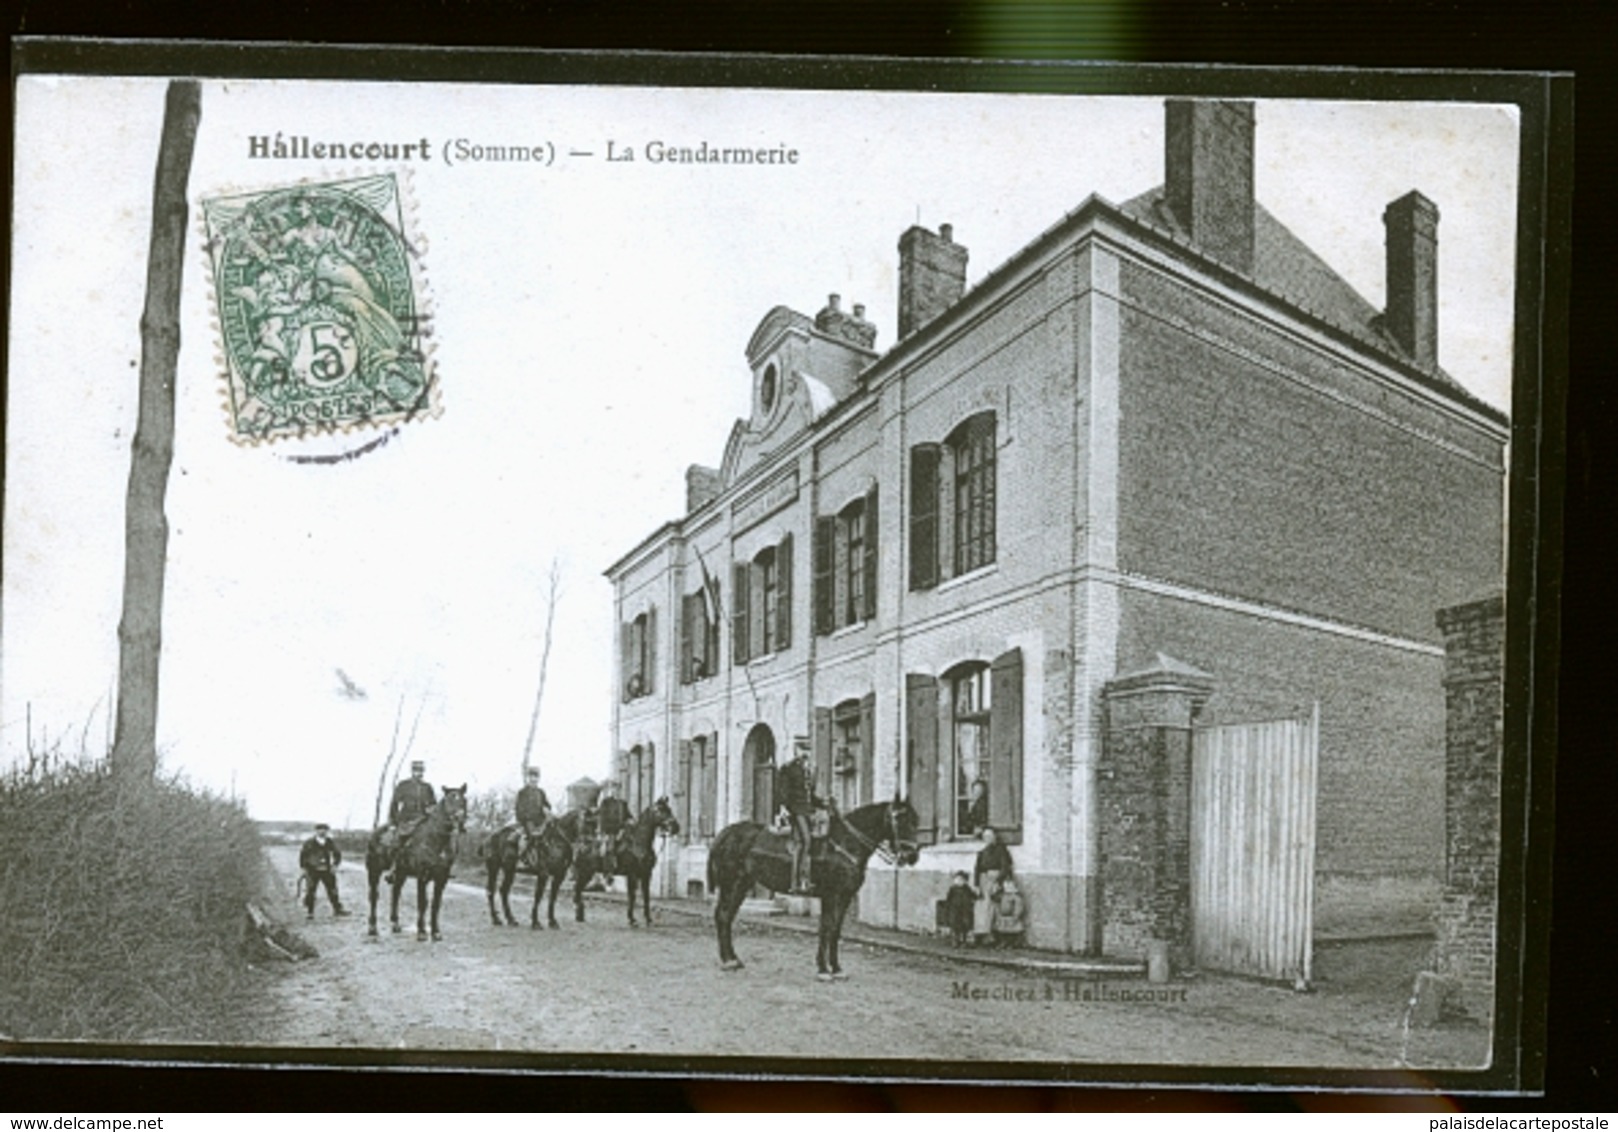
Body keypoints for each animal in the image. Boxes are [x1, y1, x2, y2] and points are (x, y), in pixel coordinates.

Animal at [367, 782, 469, 944]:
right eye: (448, 800)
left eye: (464, 800)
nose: (459, 820)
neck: (436, 840)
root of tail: (375, 833)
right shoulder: (422, 876)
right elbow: (422, 903)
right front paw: (421, 932)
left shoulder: (441, 879)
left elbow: (435, 904)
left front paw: (436, 932)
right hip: (373, 871)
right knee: (373, 897)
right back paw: (372, 929)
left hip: (400, 874)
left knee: (396, 893)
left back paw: (395, 924)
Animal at [572, 795, 679, 931]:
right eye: (661, 810)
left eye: (669, 809)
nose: (676, 827)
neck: (638, 843)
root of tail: (580, 845)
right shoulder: (632, 875)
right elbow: (632, 897)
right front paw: (632, 920)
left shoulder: (646, 874)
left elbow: (646, 897)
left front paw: (648, 919)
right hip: (585, 872)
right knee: (577, 889)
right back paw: (579, 912)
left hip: (586, 873)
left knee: (578, 890)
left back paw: (579, 914)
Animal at [711, 795, 925, 983]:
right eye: (899, 819)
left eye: (915, 820)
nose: (912, 855)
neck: (845, 844)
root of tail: (726, 833)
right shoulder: (830, 896)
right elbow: (826, 929)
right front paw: (823, 969)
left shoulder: (845, 897)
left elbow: (835, 931)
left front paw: (836, 969)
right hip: (731, 883)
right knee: (723, 916)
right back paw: (728, 961)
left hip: (741, 885)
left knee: (727, 916)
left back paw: (732, 959)